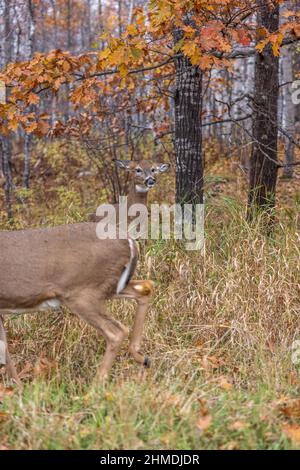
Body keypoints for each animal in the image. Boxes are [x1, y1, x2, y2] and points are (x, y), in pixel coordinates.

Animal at [0, 222, 154, 384]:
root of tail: (129, 242)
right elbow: (5, 349)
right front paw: (18, 387)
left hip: (82, 293)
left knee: (116, 331)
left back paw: (95, 385)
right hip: (108, 288)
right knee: (146, 287)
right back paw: (141, 357)